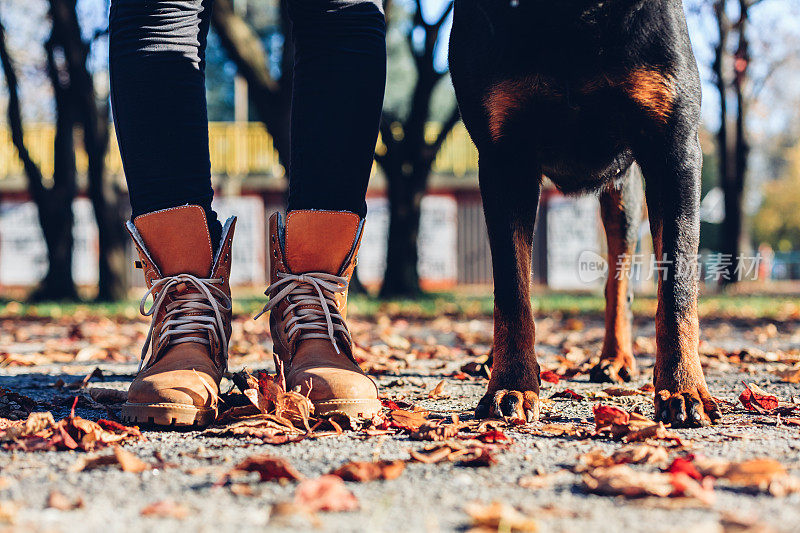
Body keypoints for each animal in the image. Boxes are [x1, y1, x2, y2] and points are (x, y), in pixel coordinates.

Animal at [450, 0, 720, 426]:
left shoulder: (674, 150)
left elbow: (677, 286)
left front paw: (682, 387)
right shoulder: (503, 160)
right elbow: (511, 287)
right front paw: (511, 383)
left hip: (623, 194)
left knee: (619, 281)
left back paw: (616, 358)